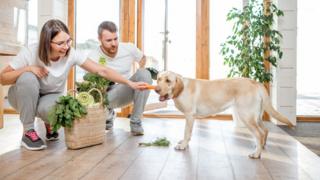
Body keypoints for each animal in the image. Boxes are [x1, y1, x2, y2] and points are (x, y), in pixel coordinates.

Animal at [155, 71, 292, 158]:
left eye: (168, 81)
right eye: (158, 79)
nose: (156, 89)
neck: (181, 89)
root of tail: (255, 82)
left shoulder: (189, 116)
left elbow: (187, 132)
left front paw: (183, 145)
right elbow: (187, 134)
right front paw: (183, 142)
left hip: (246, 116)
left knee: (259, 133)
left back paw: (256, 154)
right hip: (256, 116)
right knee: (265, 131)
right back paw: (260, 147)